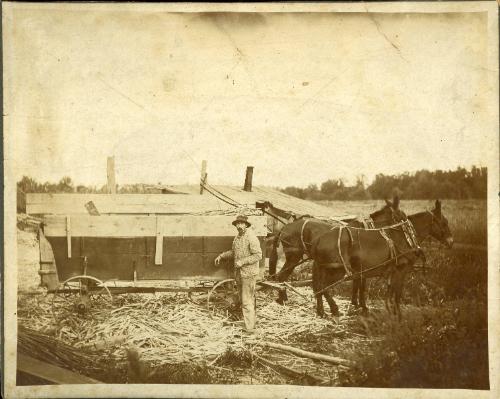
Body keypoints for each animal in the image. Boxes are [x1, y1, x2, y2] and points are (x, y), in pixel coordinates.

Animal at [312, 200, 454, 322]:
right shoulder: (401, 269)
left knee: (318, 287)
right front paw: (398, 315)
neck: (406, 235)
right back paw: (334, 308)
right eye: (444, 223)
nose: (451, 242)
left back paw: (321, 311)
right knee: (322, 287)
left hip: (327, 269)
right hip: (338, 271)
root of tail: (319, 239)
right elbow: (397, 293)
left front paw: (389, 310)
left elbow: (389, 292)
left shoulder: (388, 271)